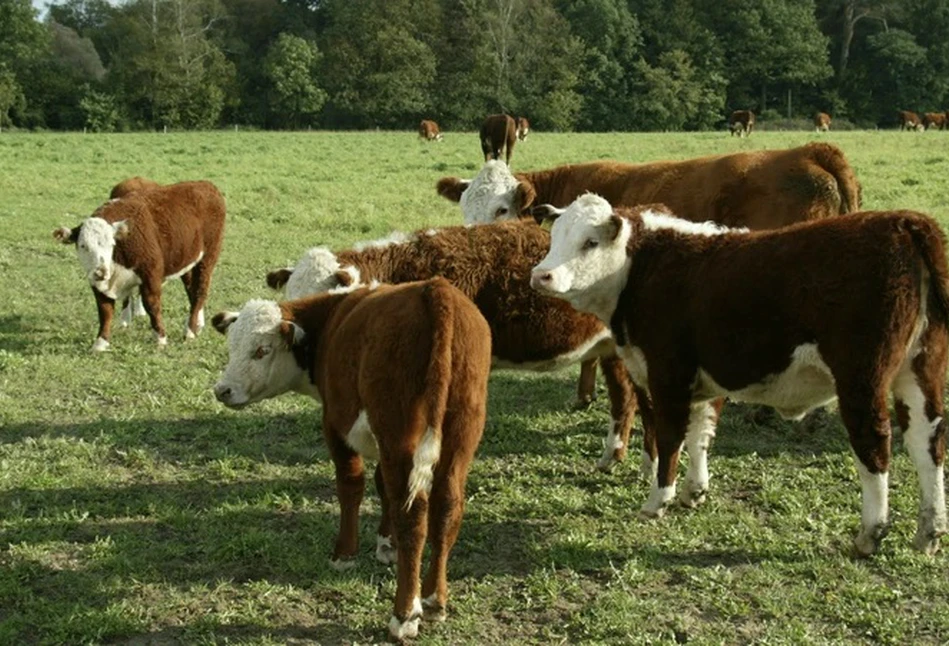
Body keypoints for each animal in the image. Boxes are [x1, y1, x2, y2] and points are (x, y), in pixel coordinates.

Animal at [53, 182, 226, 352]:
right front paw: (100, 343)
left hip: (208, 257)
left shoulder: (151, 274)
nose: (100, 272)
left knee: (200, 291)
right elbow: (105, 311)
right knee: (191, 289)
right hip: (187, 259)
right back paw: (197, 324)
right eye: (83, 245)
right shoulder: (98, 284)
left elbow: (152, 305)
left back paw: (189, 331)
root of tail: (206, 185)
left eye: (111, 244)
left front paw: (160, 338)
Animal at [212, 278, 492, 644]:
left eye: (261, 350)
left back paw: (404, 615)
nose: (222, 390)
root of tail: (435, 289)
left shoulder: (336, 423)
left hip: (399, 432)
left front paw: (345, 554)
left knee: (414, 517)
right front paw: (386, 544)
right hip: (459, 434)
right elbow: (383, 487)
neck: (332, 320)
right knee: (447, 507)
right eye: (232, 347)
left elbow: (351, 486)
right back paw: (433, 599)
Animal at [528, 195, 948, 560]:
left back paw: (869, 534)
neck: (641, 267)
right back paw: (929, 532)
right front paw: (694, 491)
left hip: (862, 378)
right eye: (555, 235)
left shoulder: (668, 376)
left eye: (590, 242)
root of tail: (903, 221)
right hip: (919, 370)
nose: (541, 276)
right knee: (927, 442)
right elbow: (700, 434)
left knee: (874, 445)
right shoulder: (703, 379)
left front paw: (658, 499)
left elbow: (669, 438)